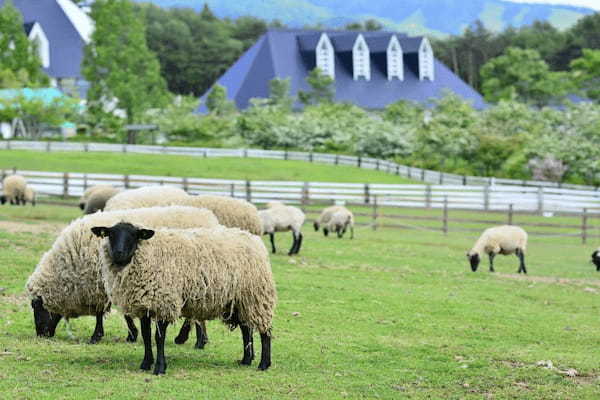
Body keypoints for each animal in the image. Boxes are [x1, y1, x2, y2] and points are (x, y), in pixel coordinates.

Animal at [26, 206, 220, 344]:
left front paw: (97, 336)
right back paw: (200, 340)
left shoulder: (103, 285)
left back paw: (187, 338)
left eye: (37, 306)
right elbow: (124, 313)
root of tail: (209, 217)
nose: (41, 334)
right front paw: (131, 335)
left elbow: (102, 313)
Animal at [93, 223, 276, 374]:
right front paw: (146, 364)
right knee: (246, 329)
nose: (118, 253)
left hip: (256, 297)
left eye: (133, 235)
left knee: (265, 331)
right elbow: (146, 336)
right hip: (239, 301)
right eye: (111, 234)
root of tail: (253, 239)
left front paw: (160, 368)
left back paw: (264, 364)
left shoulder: (164, 303)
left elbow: (159, 338)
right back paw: (246, 360)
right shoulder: (145, 306)